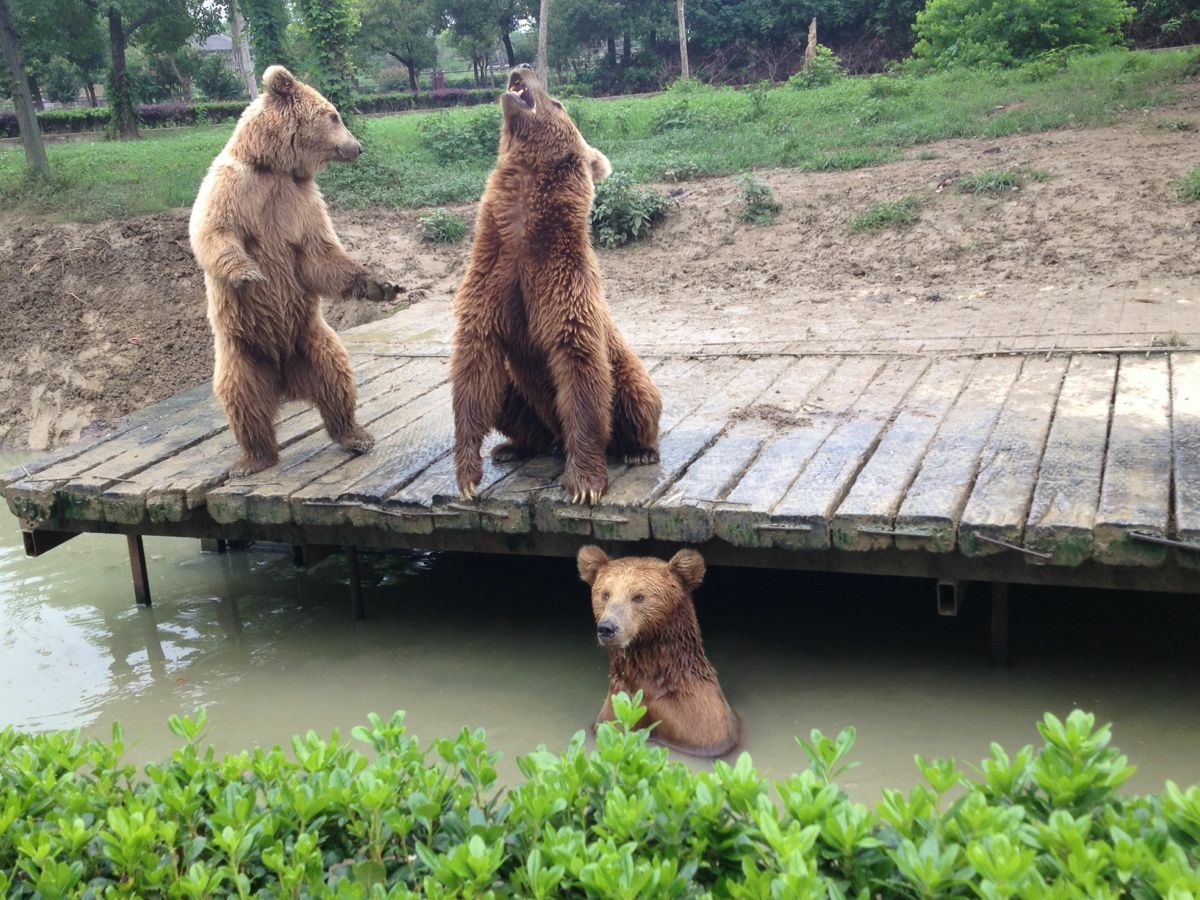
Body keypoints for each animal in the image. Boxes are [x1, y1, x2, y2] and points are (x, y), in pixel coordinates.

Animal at [184, 64, 396, 480]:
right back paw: (251, 459)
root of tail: (283, 381)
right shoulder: (233, 188)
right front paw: (247, 274)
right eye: (334, 115)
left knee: (336, 378)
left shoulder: (301, 202)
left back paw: (355, 434)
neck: (275, 168)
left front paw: (381, 283)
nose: (357, 147)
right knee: (242, 399)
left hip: (311, 339)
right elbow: (214, 233)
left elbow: (319, 255)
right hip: (242, 352)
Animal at [451, 64, 662, 508]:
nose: (523, 66)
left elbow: (579, 368)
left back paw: (638, 449)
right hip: (522, 396)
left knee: (637, 394)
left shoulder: (561, 284)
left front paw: (583, 483)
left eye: (559, 102)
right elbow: (474, 368)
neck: (523, 232)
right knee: (508, 398)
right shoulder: (493, 275)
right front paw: (467, 477)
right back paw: (513, 446)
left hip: (628, 371)